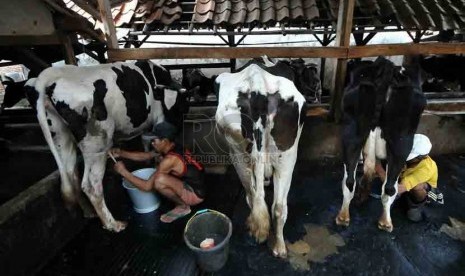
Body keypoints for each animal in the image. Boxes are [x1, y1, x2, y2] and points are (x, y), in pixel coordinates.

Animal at [15, 61, 190, 232]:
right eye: (183, 103)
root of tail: (49, 75)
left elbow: (147, 143)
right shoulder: (159, 117)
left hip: (60, 136)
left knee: (71, 175)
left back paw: (89, 212)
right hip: (97, 143)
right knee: (91, 185)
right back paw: (113, 224)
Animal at [215, 61, 308, 258]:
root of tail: (258, 86)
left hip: (237, 153)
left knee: (252, 195)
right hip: (287, 156)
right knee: (278, 207)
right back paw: (280, 248)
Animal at [336, 55, 426, 232]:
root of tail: (388, 68)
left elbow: (369, 166)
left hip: (353, 131)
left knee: (350, 180)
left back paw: (344, 216)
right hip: (402, 139)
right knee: (390, 187)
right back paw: (385, 222)